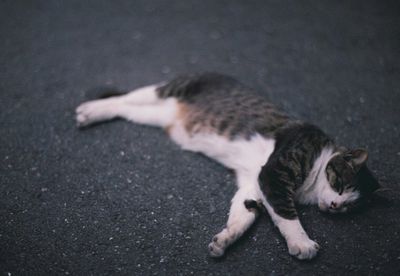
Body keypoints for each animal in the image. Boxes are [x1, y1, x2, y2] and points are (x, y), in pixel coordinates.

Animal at [74, 72, 378, 260]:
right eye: (341, 184)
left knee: (128, 110)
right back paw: (90, 109)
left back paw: (94, 113)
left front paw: (225, 240)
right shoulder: (275, 173)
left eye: (352, 205)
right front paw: (302, 243)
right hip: (167, 90)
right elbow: (287, 215)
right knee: (125, 98)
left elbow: (242, 215)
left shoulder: (254, 183)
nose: (336, 205)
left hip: (155, 115)